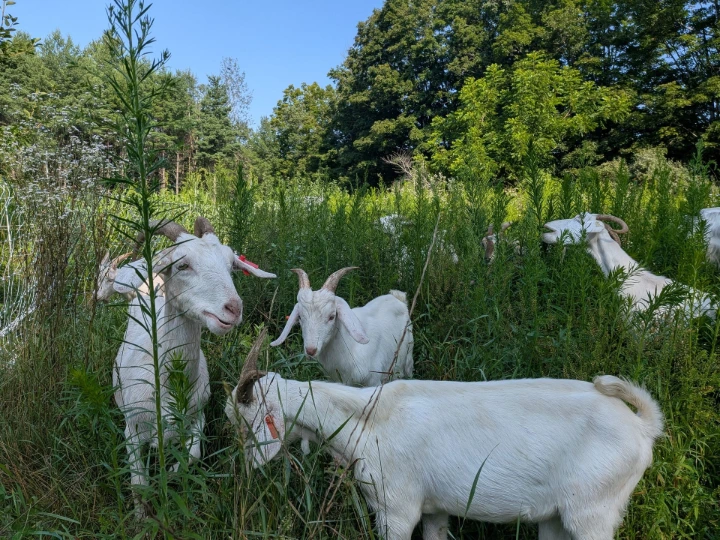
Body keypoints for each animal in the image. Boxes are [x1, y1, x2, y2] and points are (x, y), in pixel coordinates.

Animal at [112, 216, 275, 516]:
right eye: (182, 265)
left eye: (231, 265)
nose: (233, 308)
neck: (168, 385)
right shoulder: (132, 429)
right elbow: (139, 482)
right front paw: (141, 516)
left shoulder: (198, 415)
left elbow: (193, 455)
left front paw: (171, 472)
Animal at [226, 332, 663, 540]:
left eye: (247, 419)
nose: (245, 472)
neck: (368, 420)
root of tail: (641, 426)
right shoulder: (435, 510)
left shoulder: (396, 510)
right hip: (557, 517)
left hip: (593, 513)